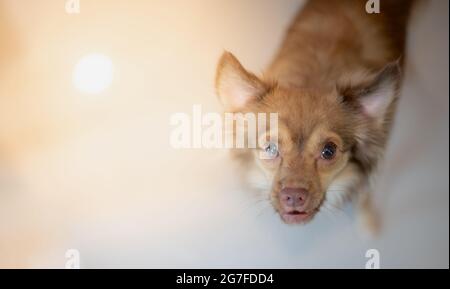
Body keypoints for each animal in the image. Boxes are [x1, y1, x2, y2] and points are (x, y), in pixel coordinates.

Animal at [214, 0, 414, 233]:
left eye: (329, 151)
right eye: (270, 149)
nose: (293, 196)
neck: (313, 79)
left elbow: (365, 193)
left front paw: (368, 221)